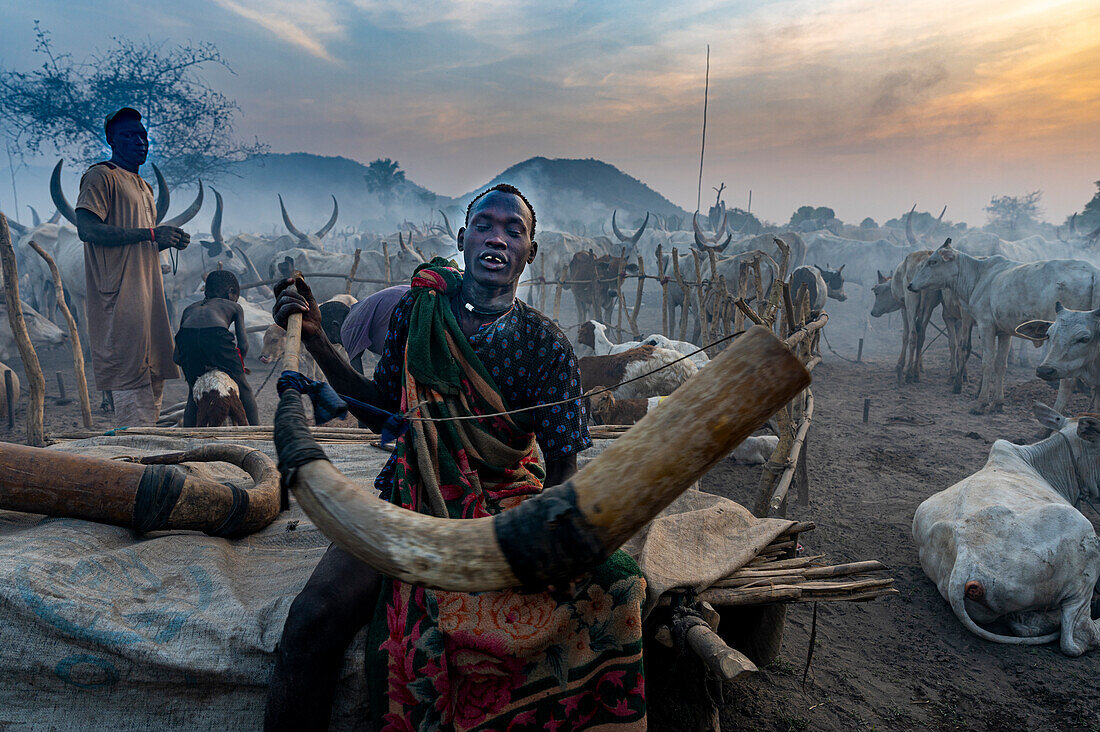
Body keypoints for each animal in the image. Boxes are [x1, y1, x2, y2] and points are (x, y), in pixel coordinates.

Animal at [910, 238, 1100, 411]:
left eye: (933, 261)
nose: (911, 284)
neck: (979, 275)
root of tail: (1093, 273)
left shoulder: (986, 326)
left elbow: (987, 362)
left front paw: (981, 402)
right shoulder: (1004, 332)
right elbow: (1000, 364)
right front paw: (997, 403)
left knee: (1068, 382)